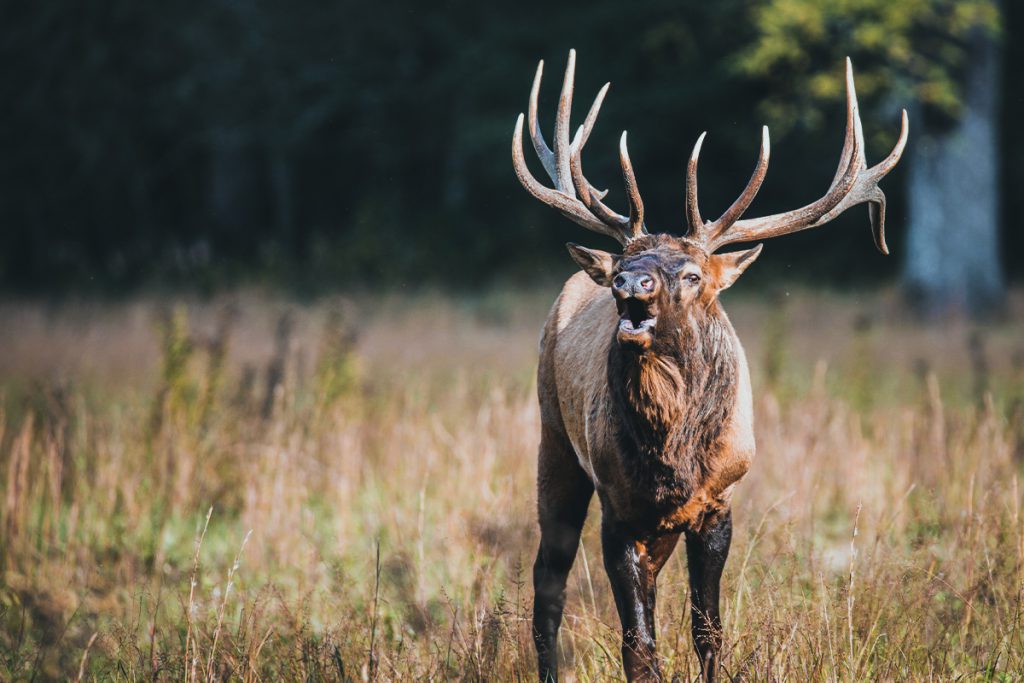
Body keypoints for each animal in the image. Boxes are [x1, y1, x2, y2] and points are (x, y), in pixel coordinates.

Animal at [512, 52, 905, 683]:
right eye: (623, 264)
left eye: (693, 275)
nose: (630, 283)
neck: (672, 455)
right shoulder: (618, 505)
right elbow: (638, 644)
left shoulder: (720, 499)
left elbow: (707, 630)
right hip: (554, 440)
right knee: (548, 580)